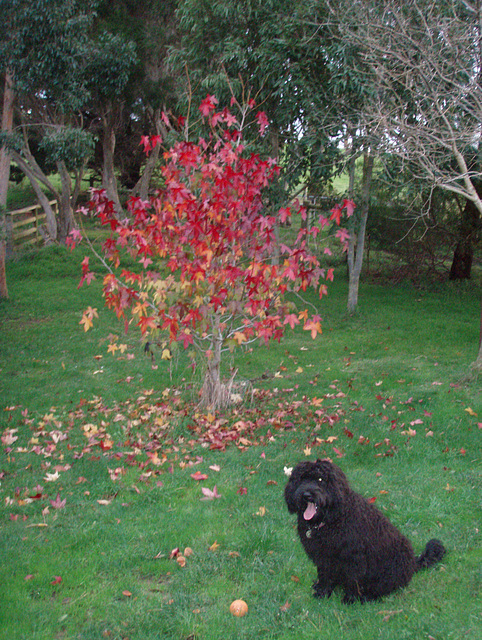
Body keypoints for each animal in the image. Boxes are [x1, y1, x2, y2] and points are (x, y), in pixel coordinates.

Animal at [284, 458, 446, 604]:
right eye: (302, 479)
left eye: (320, 479)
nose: (306, 495)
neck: (330, 520)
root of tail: (413, 564)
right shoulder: (323, 557)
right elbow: (324, 576)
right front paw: (322, 593)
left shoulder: (354, 557)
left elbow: (353, 580)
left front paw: (350, 599)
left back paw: (368, 597)